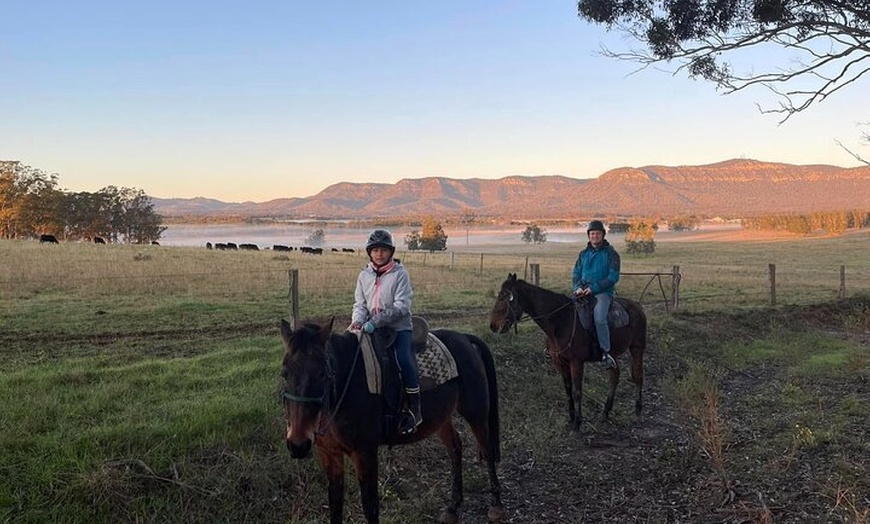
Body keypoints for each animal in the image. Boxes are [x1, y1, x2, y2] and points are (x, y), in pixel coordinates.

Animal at [280, 317, 504, 524]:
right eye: (284, 374)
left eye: (322, 373)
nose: (298, 444)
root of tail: (464, 338)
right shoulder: (329, 454)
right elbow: (335, 504)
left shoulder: (365, 452)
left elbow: (370, 506)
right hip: (441, 418)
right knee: (455, 448)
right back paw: (453, 508)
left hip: (475, 412)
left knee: (487, 449)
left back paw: (496, 504)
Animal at [489, 273, 646, 430]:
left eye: (503, 297)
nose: (493, 325)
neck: (562, 321)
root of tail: (637, 306)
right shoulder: (560, 362)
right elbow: (568, 388)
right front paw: (571, 418)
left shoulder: (576, 362)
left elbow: (577, 391)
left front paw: (577, 423)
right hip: (613, 353)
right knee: (614, 377)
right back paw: (605, 413)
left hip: (637, 349)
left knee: (638, 376)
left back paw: (638, 410)